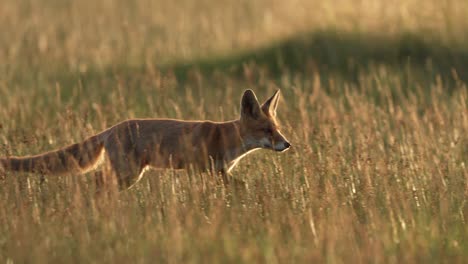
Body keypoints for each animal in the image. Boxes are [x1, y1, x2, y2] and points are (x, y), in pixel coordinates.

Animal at [0, 89, 290, 189]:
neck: (225, 138)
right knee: (98, 180)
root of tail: (111, 128)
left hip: (129, 174)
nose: (287, 145)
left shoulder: (214, 172)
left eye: (277, 129)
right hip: (128, 173)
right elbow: (242, 185)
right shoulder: (208, 169)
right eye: (267, 131)